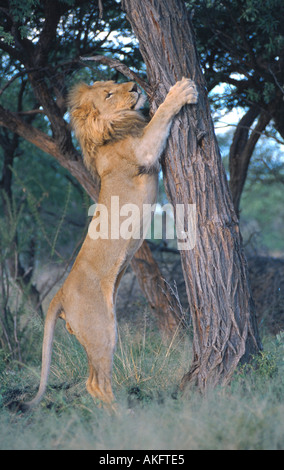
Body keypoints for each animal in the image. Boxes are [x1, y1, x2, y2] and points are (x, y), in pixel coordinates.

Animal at [16, 75, 197, 410]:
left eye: (114, 81)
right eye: (110, 93)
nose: (135, 86)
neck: (114, 129)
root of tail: (59, 295)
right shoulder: (144, 151)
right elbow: (160, 118)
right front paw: (181, 91)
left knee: (92, 382)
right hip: (102, 329)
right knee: (97, 383)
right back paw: (127, 416)